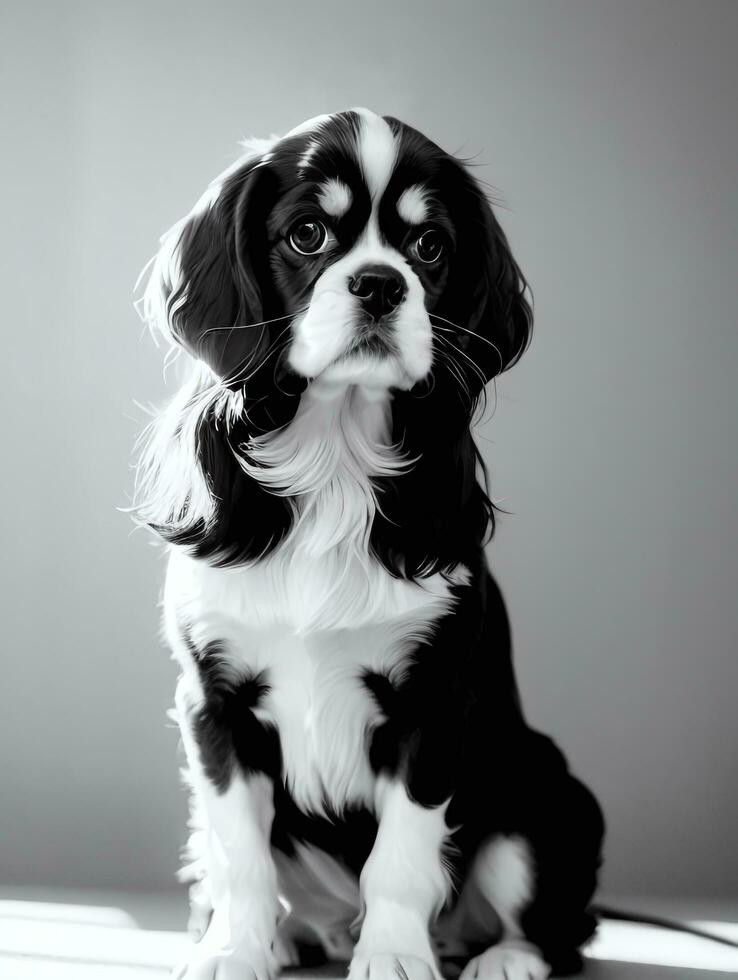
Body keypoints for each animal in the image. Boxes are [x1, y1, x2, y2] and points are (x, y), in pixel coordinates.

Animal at [135, 107, 600, 980]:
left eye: (430, 247)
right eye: (308, 234)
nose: (381, 283)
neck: (335, 457)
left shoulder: (434, 705)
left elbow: (403, 855)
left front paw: (392, 956)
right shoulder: (213, 705)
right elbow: (238, 851)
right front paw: (234, 949)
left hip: (547, 795)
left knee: (557, 920)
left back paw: (502, 956)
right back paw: (283, 936)